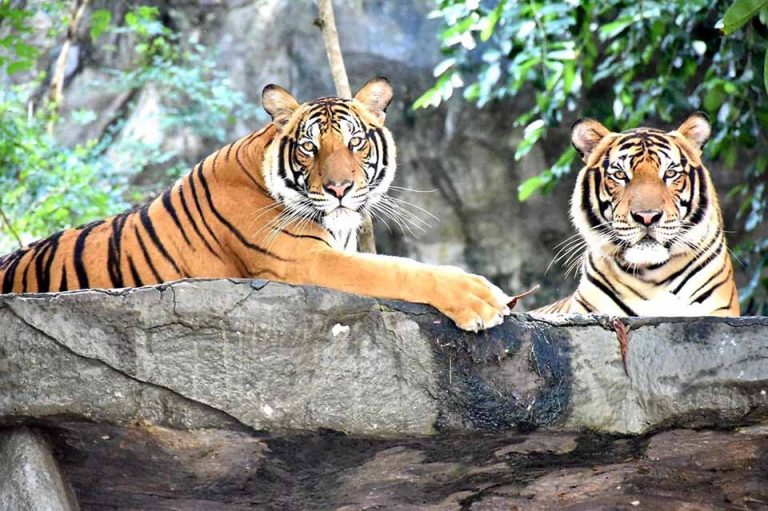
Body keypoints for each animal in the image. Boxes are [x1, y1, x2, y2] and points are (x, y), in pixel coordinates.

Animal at [0, 77, 512, 331]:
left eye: (355, 142)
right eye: (309, 147)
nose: (339, 189)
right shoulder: (304, 260)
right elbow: (398, 269)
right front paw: (481, 297)